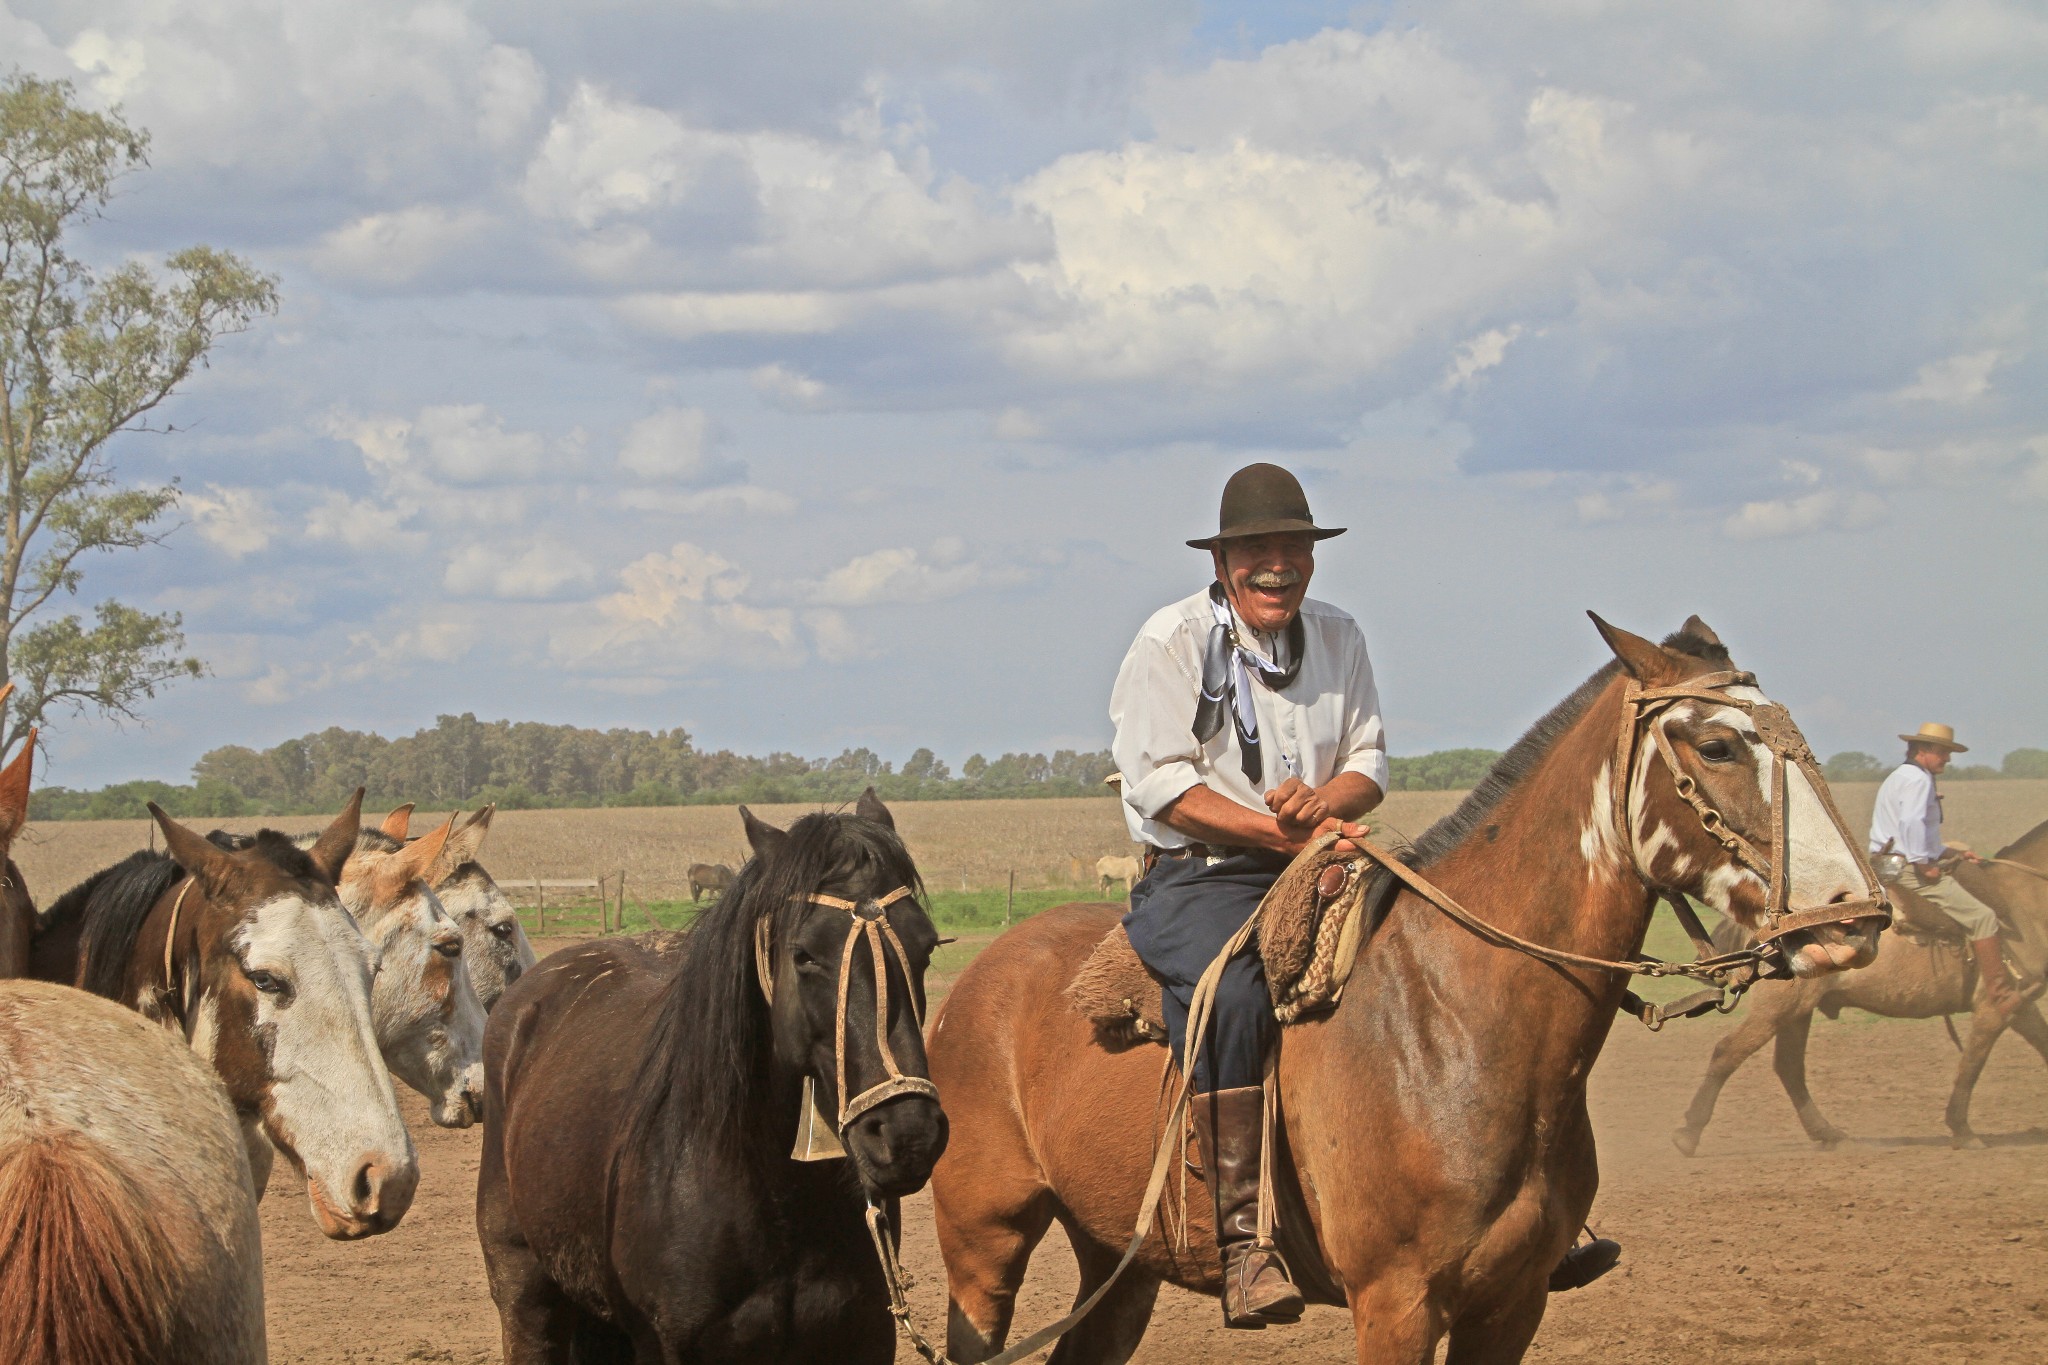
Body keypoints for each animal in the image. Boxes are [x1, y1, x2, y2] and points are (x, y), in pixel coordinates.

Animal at [929, 618, 1884, 1365]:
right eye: (1717, 745)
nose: (1856, 913)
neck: (1454, 1020)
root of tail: (971, 981)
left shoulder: (1511, 1304)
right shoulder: (1396, 1302)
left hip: (1118, 1258)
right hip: (985, 1241)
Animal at [1671, 818, 2048, 1162]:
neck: (2022, 899)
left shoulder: (2022, 1006)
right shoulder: (1996, 1007)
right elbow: (1972, 1064)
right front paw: (1962, 1130)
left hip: (1797, 1011)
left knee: (1789, 1067)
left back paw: (1828, 1134)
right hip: (1780, 1009)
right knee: (1730, 1052)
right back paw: (1688, 1133)